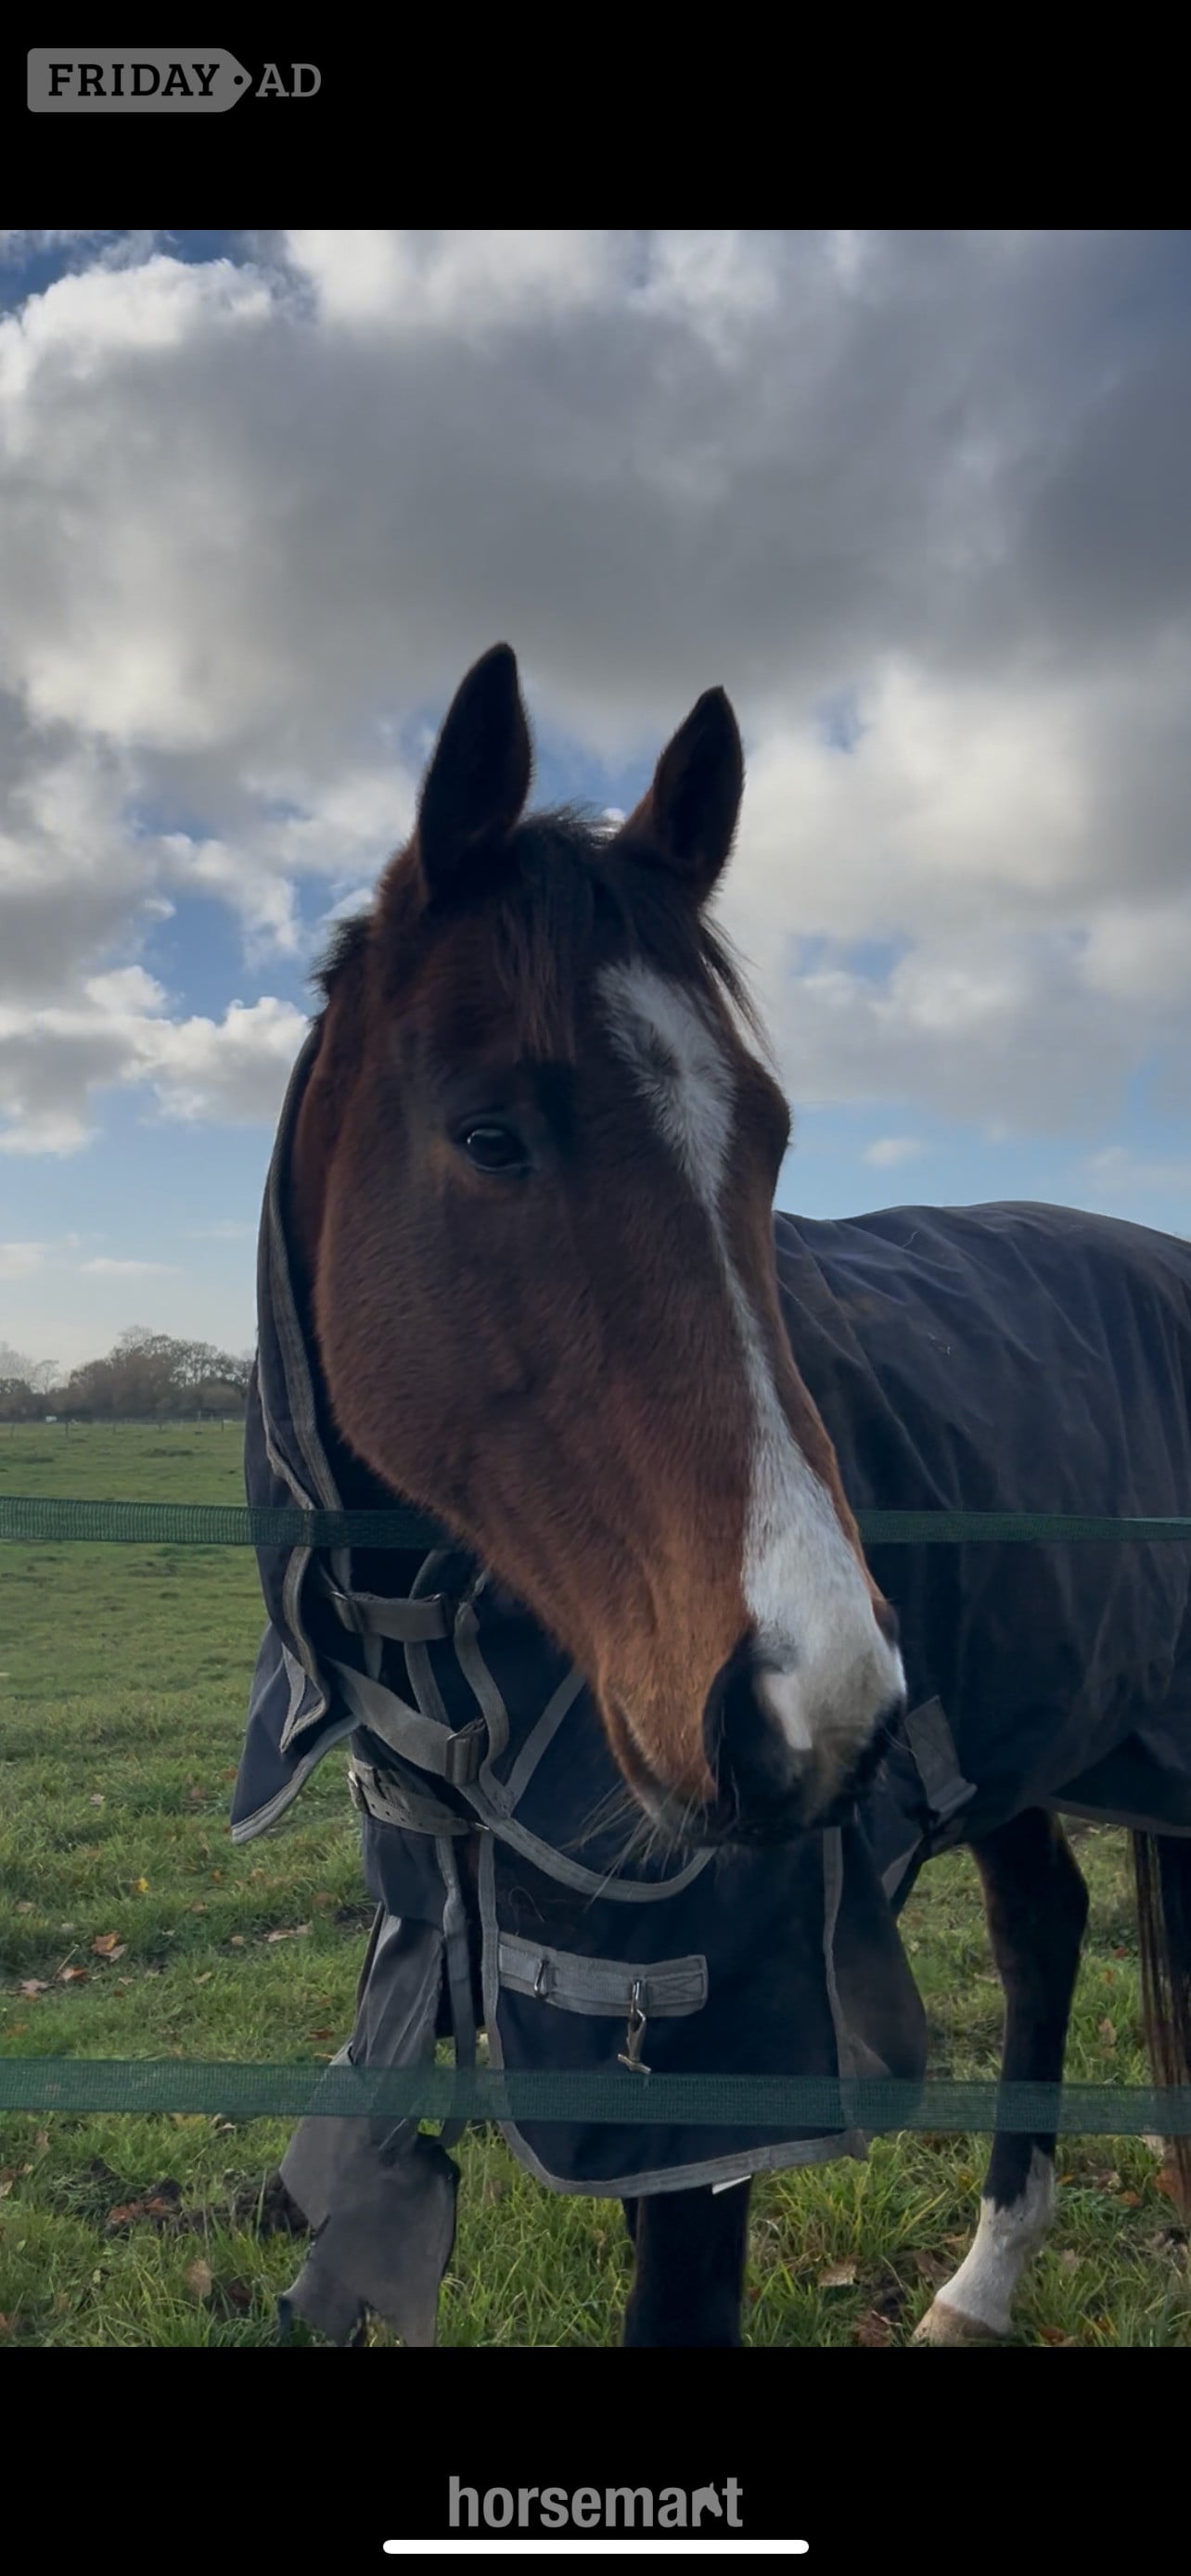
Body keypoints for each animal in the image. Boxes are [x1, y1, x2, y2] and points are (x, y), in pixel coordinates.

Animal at [238, 642, 1191, 2347]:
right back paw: (980, 2281)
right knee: (1041, 1924)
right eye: (492, 1132)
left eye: (770, 1139)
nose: (819, 1702)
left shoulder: (705, 2088)